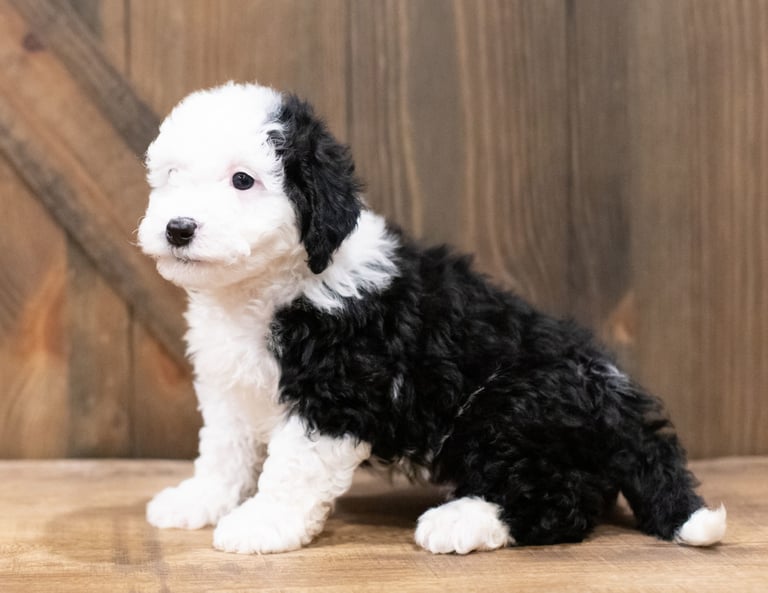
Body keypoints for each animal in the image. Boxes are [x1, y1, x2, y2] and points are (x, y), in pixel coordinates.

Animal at [136, 81, 728, 552]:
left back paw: (462, 521)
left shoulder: (337, 392)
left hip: (507, 408)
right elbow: (224, 449)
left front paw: (261, 525)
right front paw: (199, 500)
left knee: (560, 500)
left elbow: (291, 466)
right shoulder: (230, 385)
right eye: (171, 176)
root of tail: (615, 392)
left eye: (243, 180)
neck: (267, 288)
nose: (178, 228)